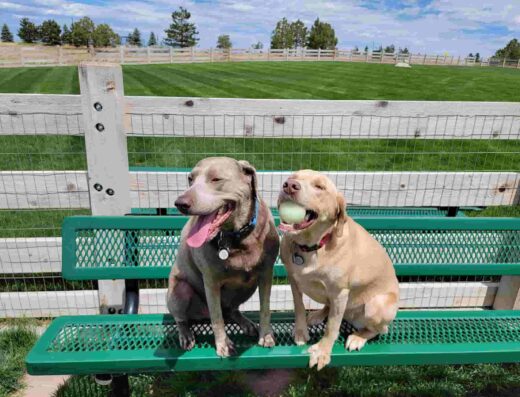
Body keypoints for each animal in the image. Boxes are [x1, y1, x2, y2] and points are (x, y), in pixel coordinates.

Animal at [168, 157, 280, 356]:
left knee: (231, 310)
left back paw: (247, 323)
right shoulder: (211, 281)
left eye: (216, 179)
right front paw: (224, 345)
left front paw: (266, 336)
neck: (236, 237)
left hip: (247, 287)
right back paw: (186, 335)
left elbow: (265, 308)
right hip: (179, 290)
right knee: (182, 318)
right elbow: (217, 317)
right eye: (190, 179)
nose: (180, 203)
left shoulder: (266, 274)